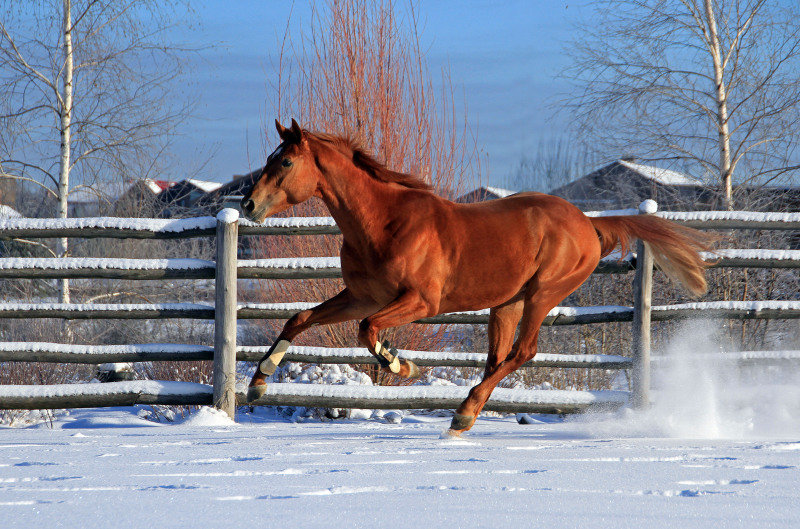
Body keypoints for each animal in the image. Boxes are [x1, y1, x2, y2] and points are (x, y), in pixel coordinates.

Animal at [239, 119, 712, 434]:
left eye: (285, 161)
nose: (247, 205)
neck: (383, 223)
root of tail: (587, 223)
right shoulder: (361, 296)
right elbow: (299, 319)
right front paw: (259, 382)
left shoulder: (419, 302)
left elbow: (367, 330)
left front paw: (402, 364)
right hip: (506, 303)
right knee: (498, 358)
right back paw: (466, 414)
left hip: (542, 295)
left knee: (524, 352)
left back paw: (463, 413)